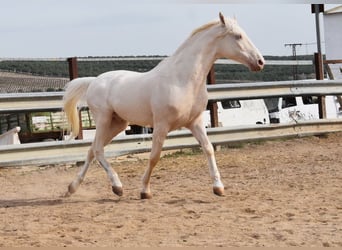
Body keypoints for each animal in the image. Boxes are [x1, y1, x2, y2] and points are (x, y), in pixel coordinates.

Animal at [62, 12, 264, 199]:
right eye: (238, 36)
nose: (260, 62)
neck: (182, 80)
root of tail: (94, 81)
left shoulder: (195, 122)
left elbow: (208, 149)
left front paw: (218, 187)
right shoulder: (161, 125)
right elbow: (154, 157)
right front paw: (145, 191)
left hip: (117, 123)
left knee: (92, 150)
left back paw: (73, 187)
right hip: (103, 119)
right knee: (97, 149)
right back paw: (117, 186)